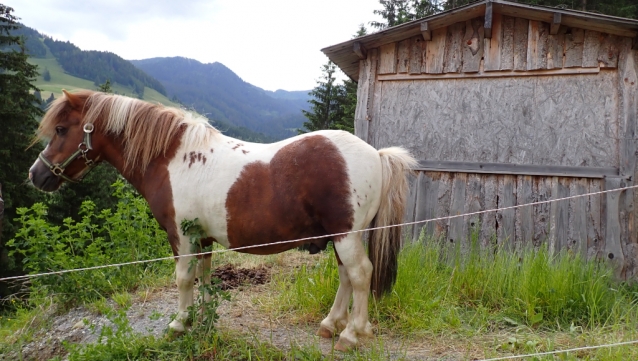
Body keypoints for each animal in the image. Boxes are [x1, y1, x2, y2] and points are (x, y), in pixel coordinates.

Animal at [28, 89, 420, 348]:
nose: (36, 174)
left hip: (346, 235)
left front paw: (178, 325)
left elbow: (183, 279)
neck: (173, 158)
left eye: (61, 129)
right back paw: (330, 324)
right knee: (345, 277)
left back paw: (351, 334)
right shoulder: (200, 239)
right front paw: (200, 320)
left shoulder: (181, 237)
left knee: (360, 275)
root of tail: (376, 153)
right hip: (341, 236)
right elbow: (203, 280)